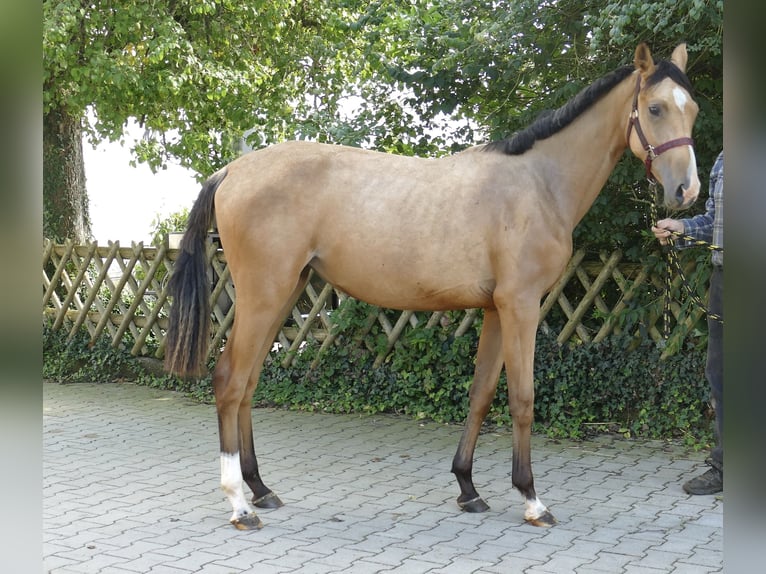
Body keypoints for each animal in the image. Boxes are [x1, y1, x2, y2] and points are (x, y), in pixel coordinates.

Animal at [166, 44, 704, 532]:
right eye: (655, 108)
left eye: (693, 108)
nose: (687, 191)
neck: (538, 182)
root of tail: (232, 170)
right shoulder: (521, 307)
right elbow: (522, 399)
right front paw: (531, 499)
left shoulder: (495, 309)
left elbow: (481, 393)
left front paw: (468, 488)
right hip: (264, 295)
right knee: (230, 380)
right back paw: (240, 505)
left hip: (284, 294)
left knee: (249, 383)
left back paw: (261, 488)